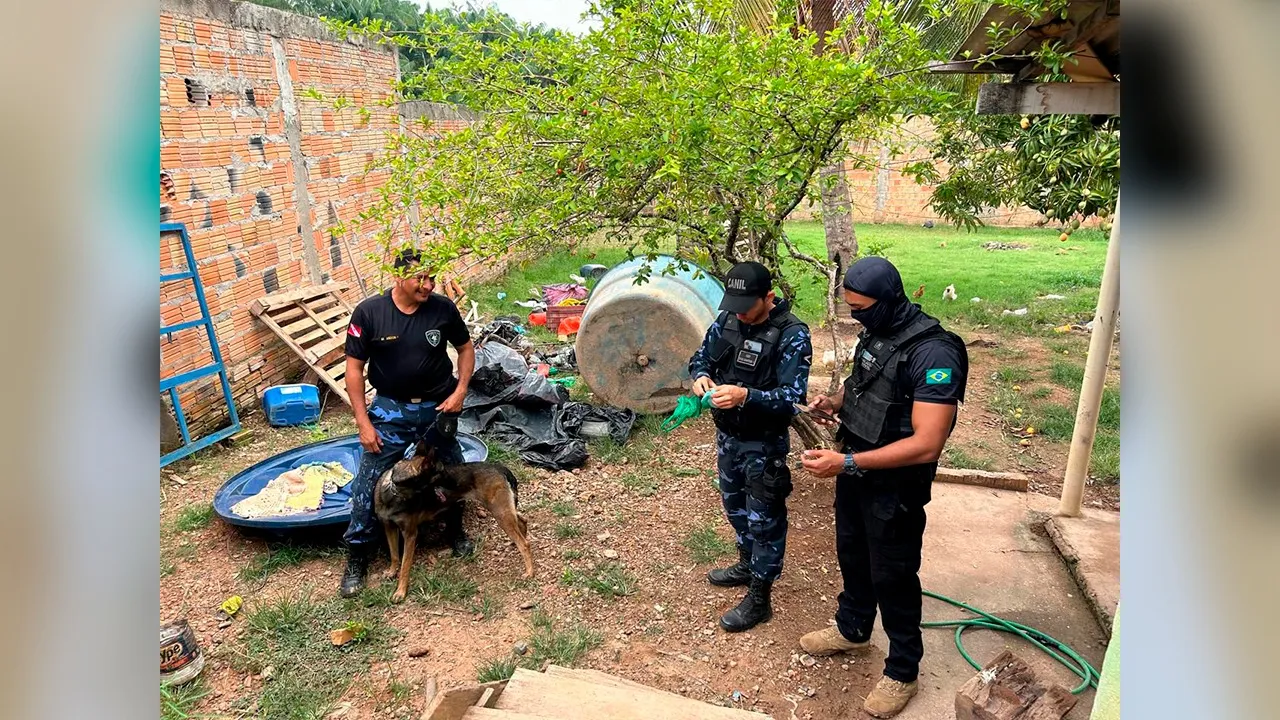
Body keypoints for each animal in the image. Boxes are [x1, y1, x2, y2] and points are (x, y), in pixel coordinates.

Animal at [373, 435, 532, 602]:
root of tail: (501, 468)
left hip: (500, 512)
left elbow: (405, 566)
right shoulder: (389, 527)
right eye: (442, 471)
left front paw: (400, 591)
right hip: (503, 509)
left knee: (524, 543)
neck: (394, 490)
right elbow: (394, 555)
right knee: (522, 520)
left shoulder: (410, 534)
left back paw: (529, 571)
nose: (458, 481)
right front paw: (392, 572)